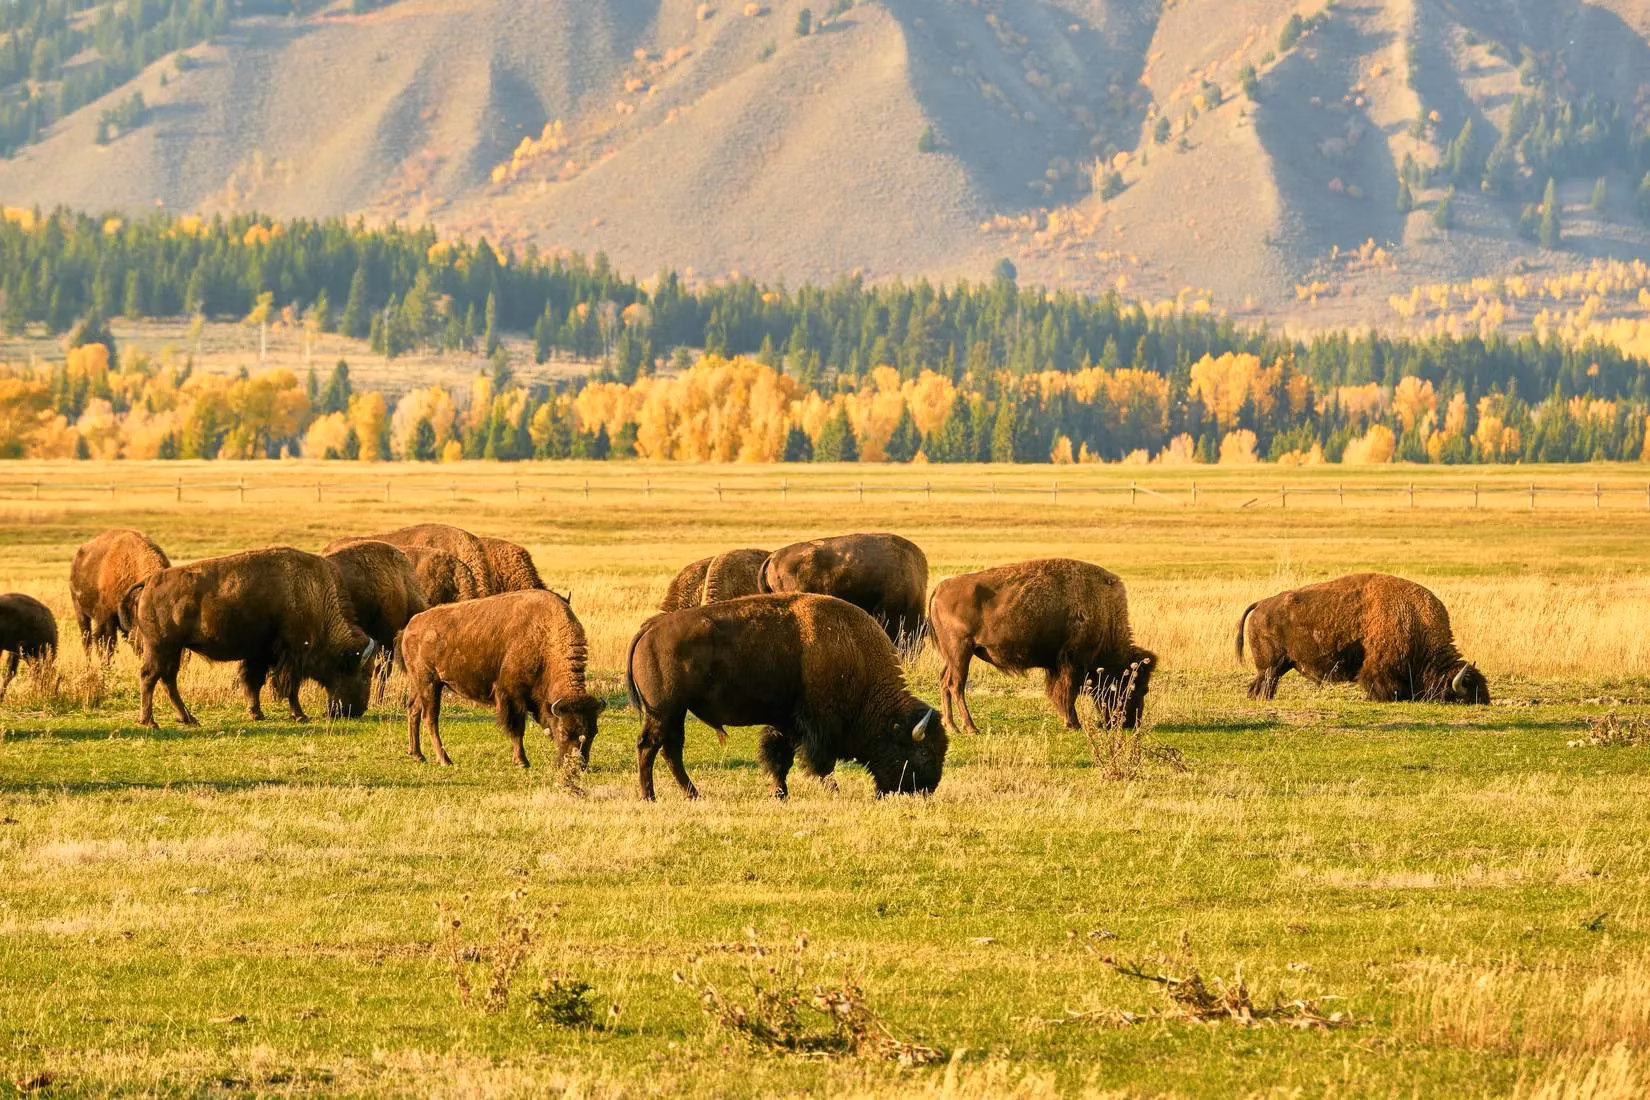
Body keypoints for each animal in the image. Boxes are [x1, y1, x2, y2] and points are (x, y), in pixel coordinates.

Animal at [122, 548, 377, 727]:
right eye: (365, 674)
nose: (359, 710)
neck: (312, 592)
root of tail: (150, 581)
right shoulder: (292, 656)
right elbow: (289, 687)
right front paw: (299, 715)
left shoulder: (260, 654)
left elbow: (254, 681)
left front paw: (256, 713)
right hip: (160, 648)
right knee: (149, 677)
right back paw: (150, 722)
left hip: (174, 650)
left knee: (168, 680)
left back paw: (188, 719)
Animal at [399, 590, 604, 768]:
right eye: (564, 732)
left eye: (594, 732)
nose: (577, 765)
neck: (545, 636)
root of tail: (411, 625)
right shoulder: (512, 695)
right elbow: (517, 729)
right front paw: (522, 762)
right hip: (430, 684)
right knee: (430, 718)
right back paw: (444, 760)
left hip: (420, 685)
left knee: (413, 711)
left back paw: (418, 755)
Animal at [625, 593, 947, 800]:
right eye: (923, 752)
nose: (926, 789)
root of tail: (651, 628)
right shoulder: (816, 724)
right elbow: (820, 762)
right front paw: (832, 790)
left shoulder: (785, 721)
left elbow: (779, 757)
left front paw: (780, 793)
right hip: (664, 711)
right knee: (650, 746)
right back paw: (649, 796)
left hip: (675, 712)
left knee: (670, 750)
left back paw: (692, 794)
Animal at [929, 558, 1156, 734]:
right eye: (1139, 688)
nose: (1131, 723)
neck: (1103, 613)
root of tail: (940, 588)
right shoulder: (1071, 663)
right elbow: (1068, 692)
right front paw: (1073, 723)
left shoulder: (1058, 665)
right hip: (961, 651)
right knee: (956, 685)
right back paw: (971, 728)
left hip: (953, 656)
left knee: (944, 682)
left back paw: (951, 726)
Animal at [1237, 572, 1489, 704]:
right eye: (1466, 697)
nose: (1486, 702)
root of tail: (1261, 604)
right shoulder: (1380, 668)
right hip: (1271, 667)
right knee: (1263, 684)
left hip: (1279, 666)